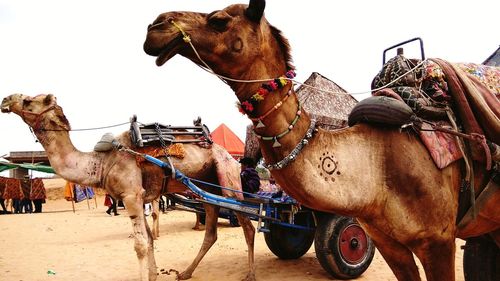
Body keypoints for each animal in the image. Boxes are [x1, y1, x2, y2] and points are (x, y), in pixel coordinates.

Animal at [0, 93, 258, 280]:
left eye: (28, 100)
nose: (6, 100)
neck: (101, 162)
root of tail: (227, 154)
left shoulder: (132, 195)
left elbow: (141, 245)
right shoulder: (137, 197)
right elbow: (150, 240)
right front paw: (154, 275)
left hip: (227, 178)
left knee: (248, 227)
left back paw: (251, 274)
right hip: (209, 187)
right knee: (211, 232)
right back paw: (185, 273)